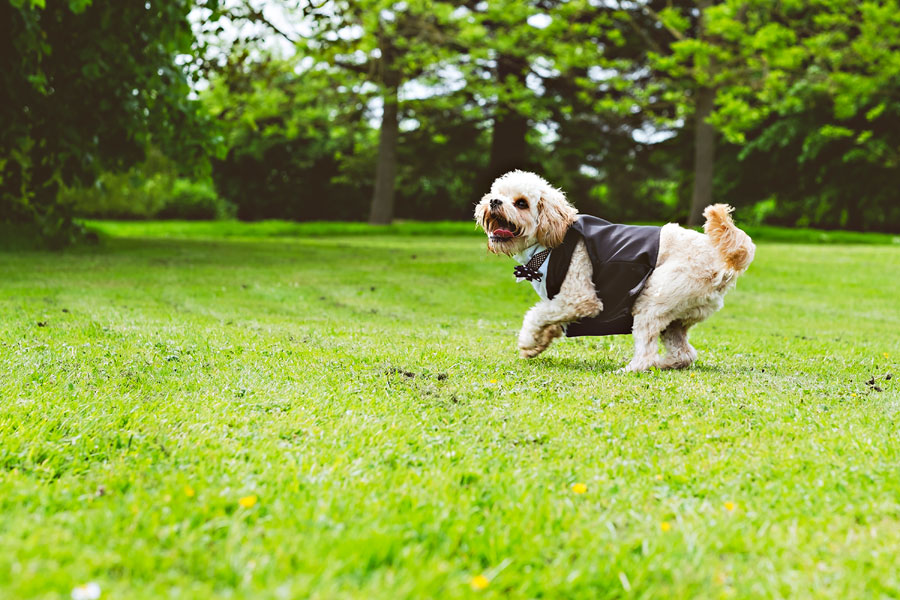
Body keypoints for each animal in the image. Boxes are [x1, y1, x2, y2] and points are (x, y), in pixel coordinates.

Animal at [474, 169, 756, 372]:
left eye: (521, 203)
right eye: (496, 193)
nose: (494, 201)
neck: (550, 245)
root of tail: (720, 260)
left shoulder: (579, 298)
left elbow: (536, 315)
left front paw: (527, 341)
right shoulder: (561, 304)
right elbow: (549, 319)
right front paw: (536, 346)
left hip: (652, 302)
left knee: (647, 352)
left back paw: (634, 368)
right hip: (676, 318)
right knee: (684, 354)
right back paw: (664, 364)